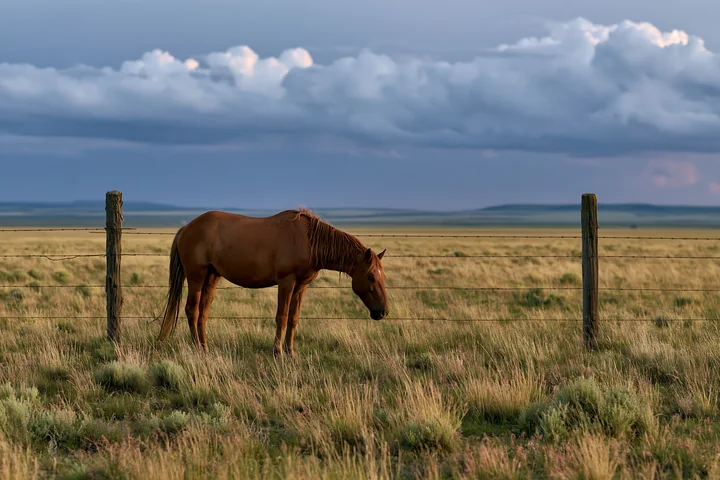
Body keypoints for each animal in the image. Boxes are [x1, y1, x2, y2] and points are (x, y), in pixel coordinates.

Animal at [155, 208, 389, 357]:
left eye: (383, 276)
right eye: (371, 276)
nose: (383, 311)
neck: (309, 241)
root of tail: (186, 228)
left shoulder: (301, 286)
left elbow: (293, 319)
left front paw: (291, 352)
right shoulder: (286, 282)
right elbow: (282, 317)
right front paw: (278, 352)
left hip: (212, 277)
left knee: (203, 312)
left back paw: (205, 347)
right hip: (196, 277)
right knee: (192, 310)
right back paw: (198, 349)